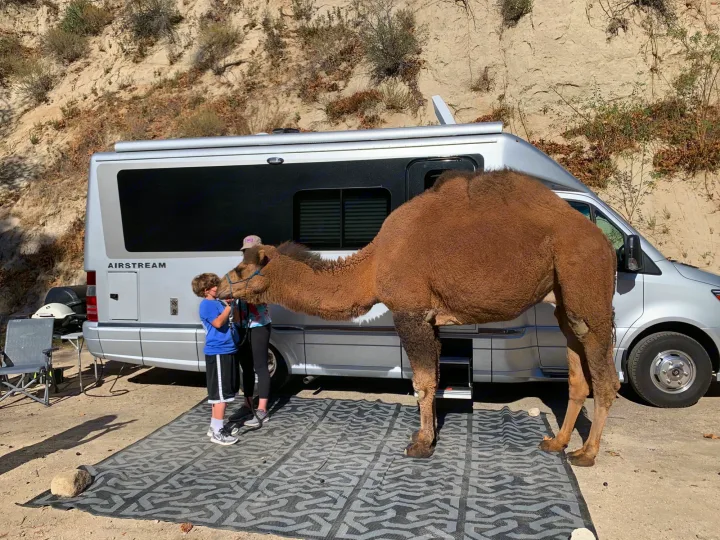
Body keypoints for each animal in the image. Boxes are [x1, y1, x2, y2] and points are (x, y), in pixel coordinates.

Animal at [217, 169, 620, 467]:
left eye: (241, 268)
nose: (214, 286)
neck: (373, 265)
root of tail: (608, 241)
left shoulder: (410, 312)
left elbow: (422, 383)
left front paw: (421, 444)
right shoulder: (430, 320)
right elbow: (434, 380)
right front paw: (428, 434)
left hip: (585, 279)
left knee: (605, 374)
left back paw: (587, 453)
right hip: (562, 297)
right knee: (576, 369)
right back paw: (557, 442)